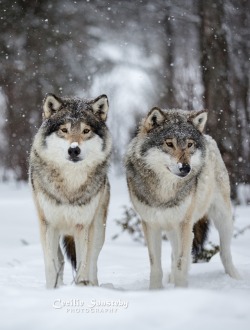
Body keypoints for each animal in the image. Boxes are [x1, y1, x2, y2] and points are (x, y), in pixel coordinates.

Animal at [29, 93, 111, 288]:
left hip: (98, 229)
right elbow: (51, 266)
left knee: (93, 262)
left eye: (86, 131)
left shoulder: (83, 226)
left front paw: (82, 287)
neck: (70, 185)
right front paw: (51, 290)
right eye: (64, 130)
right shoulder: (48, 225)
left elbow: (84, 265)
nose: (74, 150)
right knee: (60, 261)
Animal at [126, 107, 241, 288]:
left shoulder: (184, 224)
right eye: (169, 143)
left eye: (189, 144)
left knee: (224, 253)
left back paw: (235, 278)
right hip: (172, 228)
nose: (185, 168)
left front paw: (181, 291)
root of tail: (208, 137)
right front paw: (156, 291)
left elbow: (181, 263)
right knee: (174, 255)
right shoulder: (151, 225)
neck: (164, 191)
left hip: (223, 218)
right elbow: (156, 267)